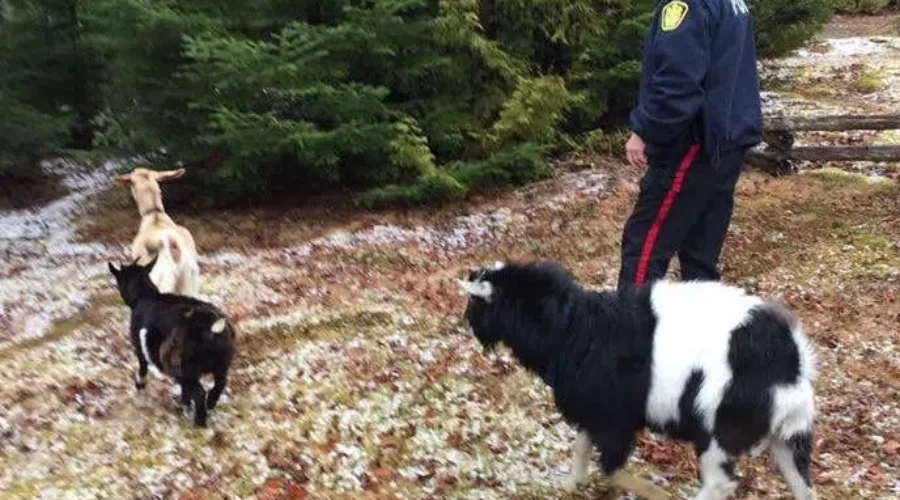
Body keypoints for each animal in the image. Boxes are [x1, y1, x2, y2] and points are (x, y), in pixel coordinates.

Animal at [109, 256, 235, 428]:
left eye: (119, 281)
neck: (146, 296)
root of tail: (211, 327)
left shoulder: (140, 349)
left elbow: (142, 367)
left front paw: (140, 387)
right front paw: (184, 406)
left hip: (188, 369)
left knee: (199, 393)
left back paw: (199, 423)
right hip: (220, 365)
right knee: (219, 384)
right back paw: (209, 405)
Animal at [459, 261, 817, 500]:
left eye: (475, 302)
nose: (467, 325)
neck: (574, 330)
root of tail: (791, 362)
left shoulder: (614, 420)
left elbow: (612, 470)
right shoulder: (594, 412)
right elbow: (581, 448)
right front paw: (571, 484)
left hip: (720, 432)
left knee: (720, 483)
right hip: (788, 438)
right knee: (803, 486)